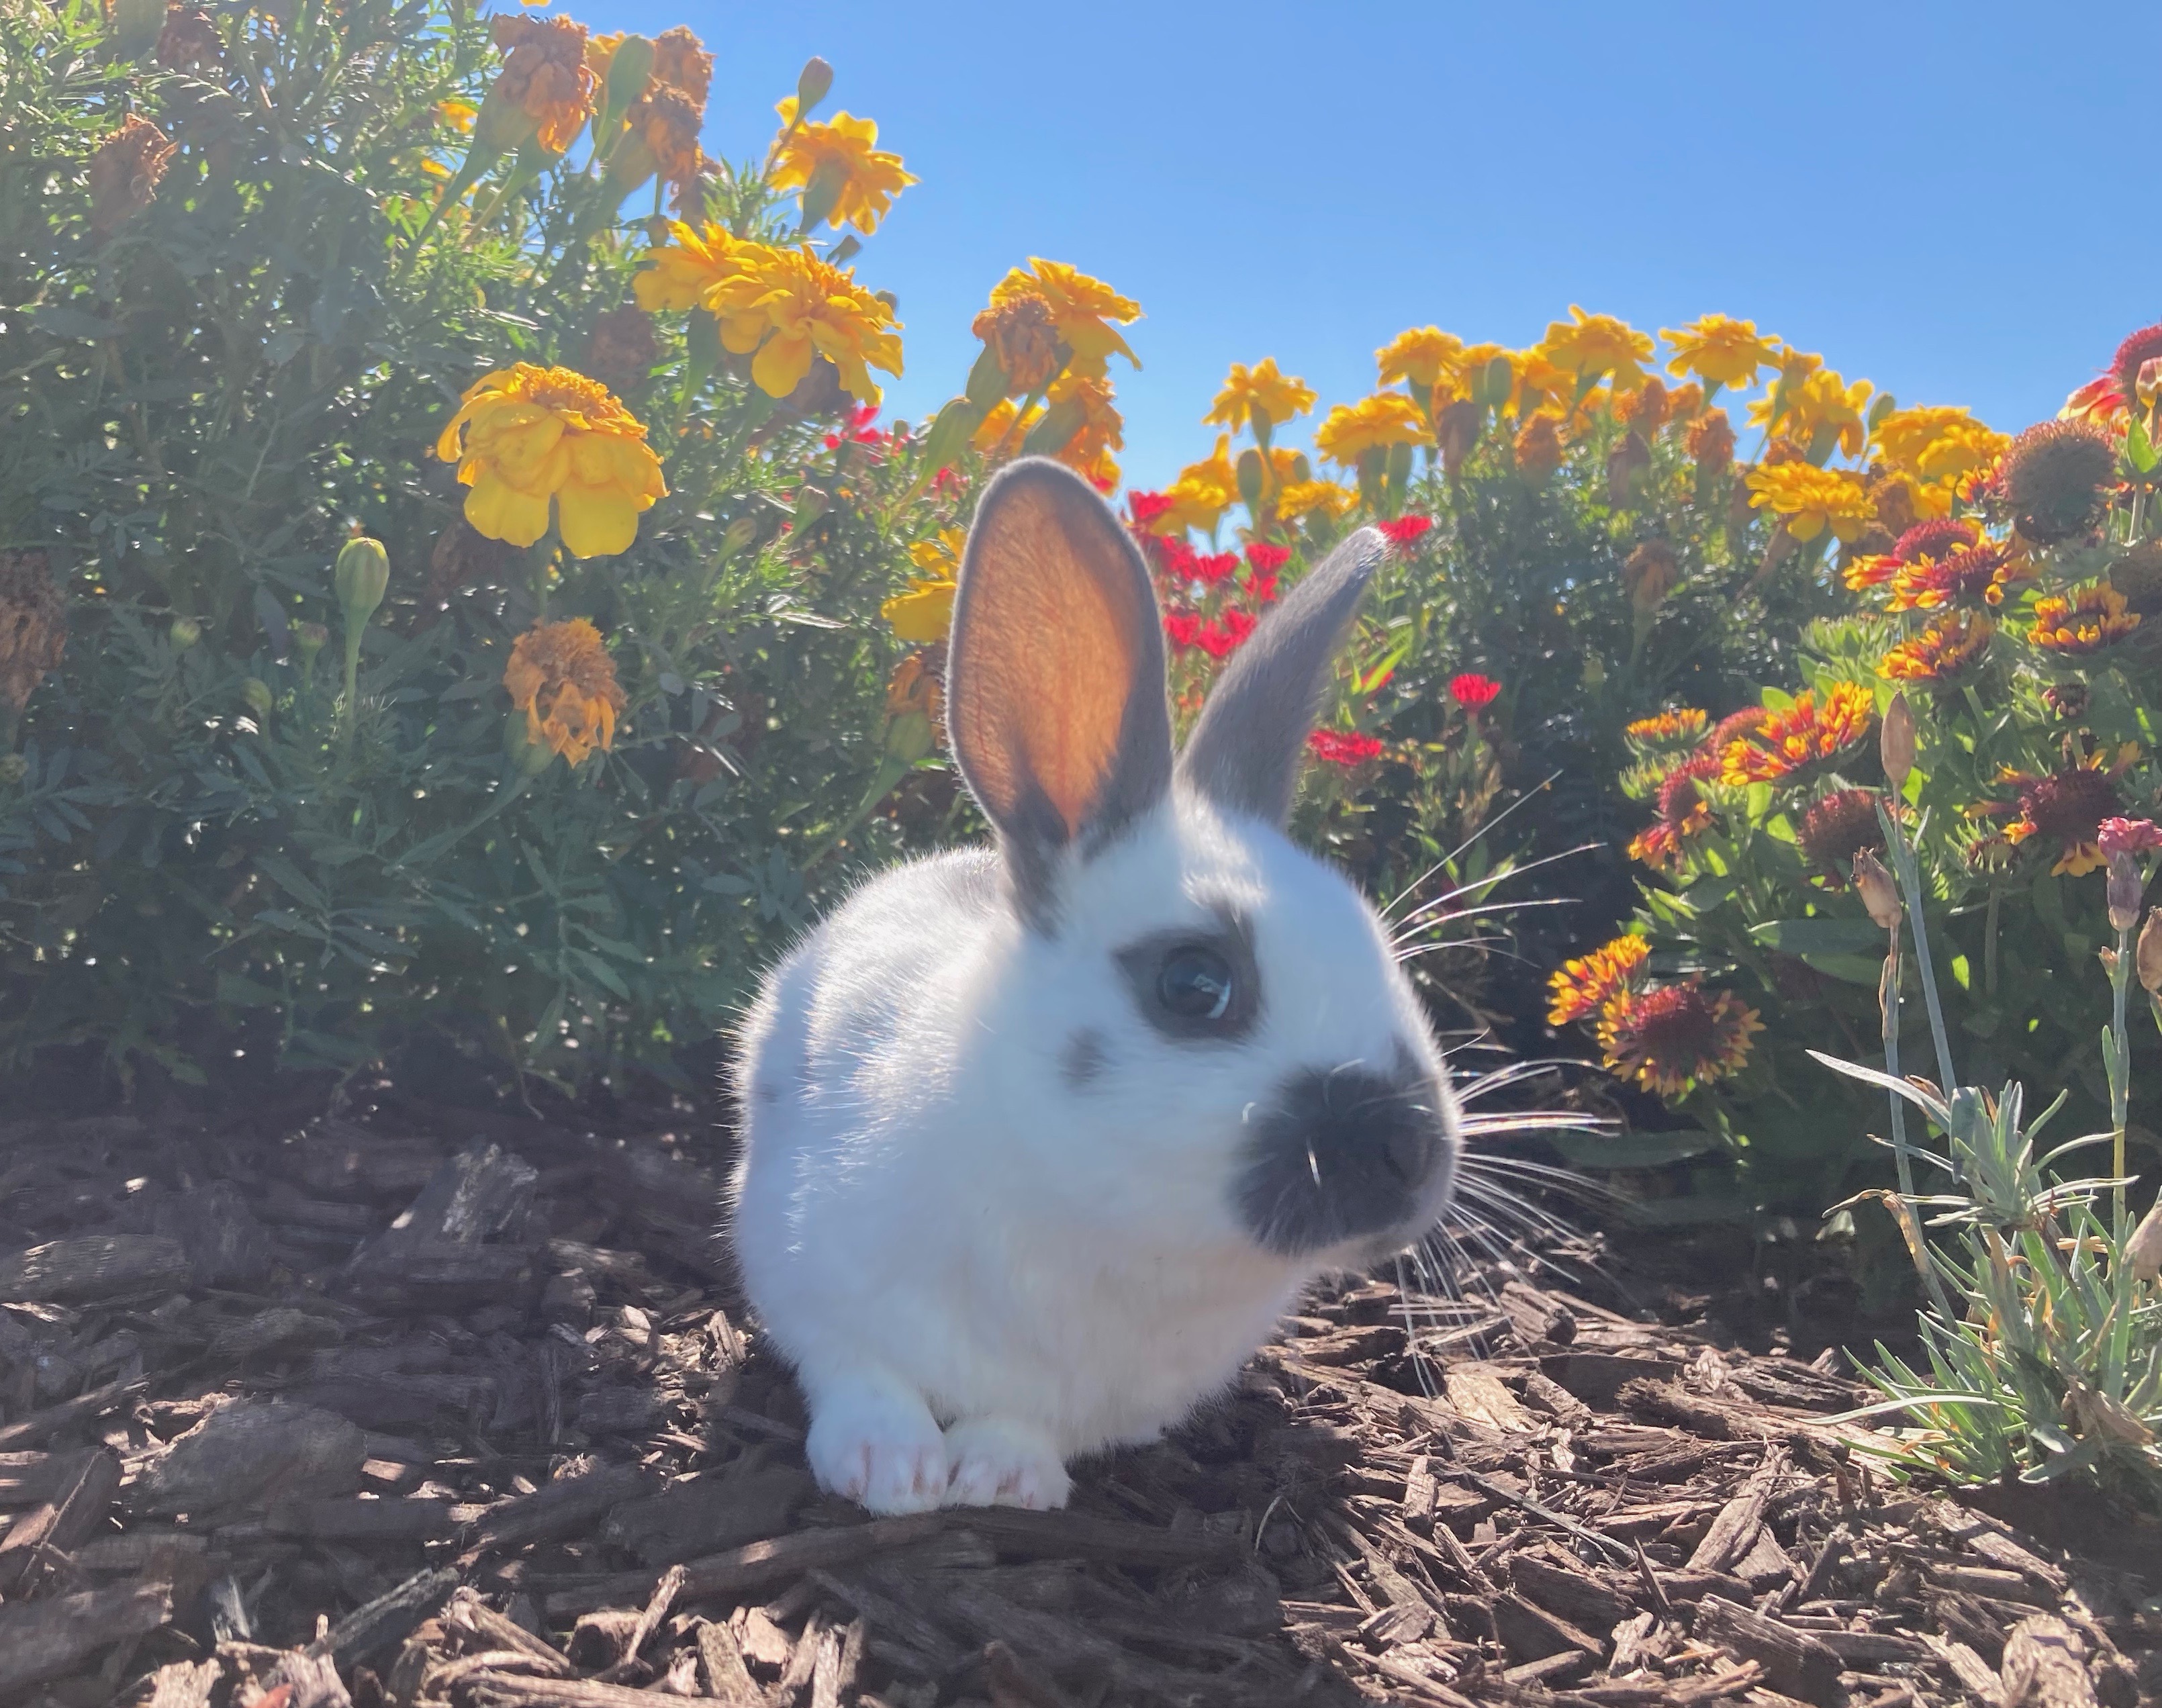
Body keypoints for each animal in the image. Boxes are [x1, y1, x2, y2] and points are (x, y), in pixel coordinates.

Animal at [728, 456, 1459, 1514]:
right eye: (1194, 982)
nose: (1414, 1152)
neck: (1109, 1222)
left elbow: (1036, 1426)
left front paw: (1002, 1477)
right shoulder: (806, 1275)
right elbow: (861, 1373)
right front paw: (891, 1473)